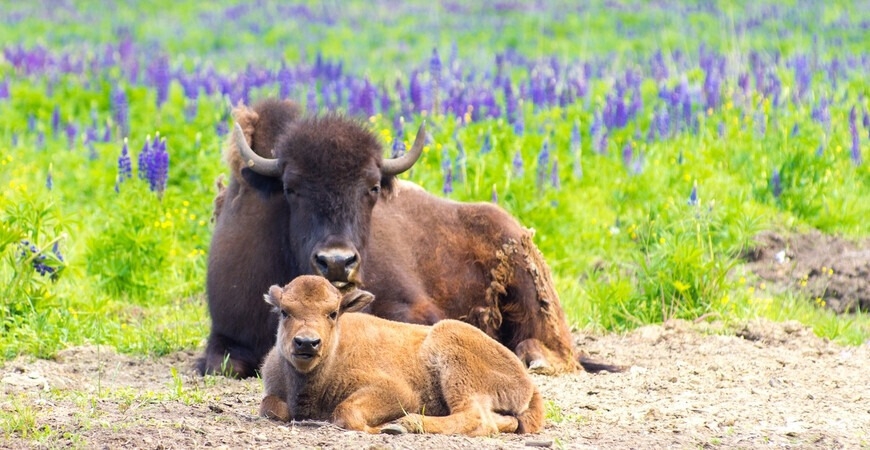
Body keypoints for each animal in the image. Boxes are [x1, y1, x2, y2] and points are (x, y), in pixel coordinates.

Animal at [198, 99, 620, 380]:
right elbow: (222, 364)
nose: (337, 262)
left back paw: (535, 358)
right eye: (291, 188)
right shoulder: (225, 334)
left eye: (371, 187)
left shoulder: (415, 309)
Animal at [258, 274, 544, 436]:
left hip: (454, 360)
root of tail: (528, 384)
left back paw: (404, 424)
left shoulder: (398, 392)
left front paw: (381, 428)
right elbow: (270, 407)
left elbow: (347, 411)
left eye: (333, 313)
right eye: (284, 311)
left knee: (475, 418)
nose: (307, 343)